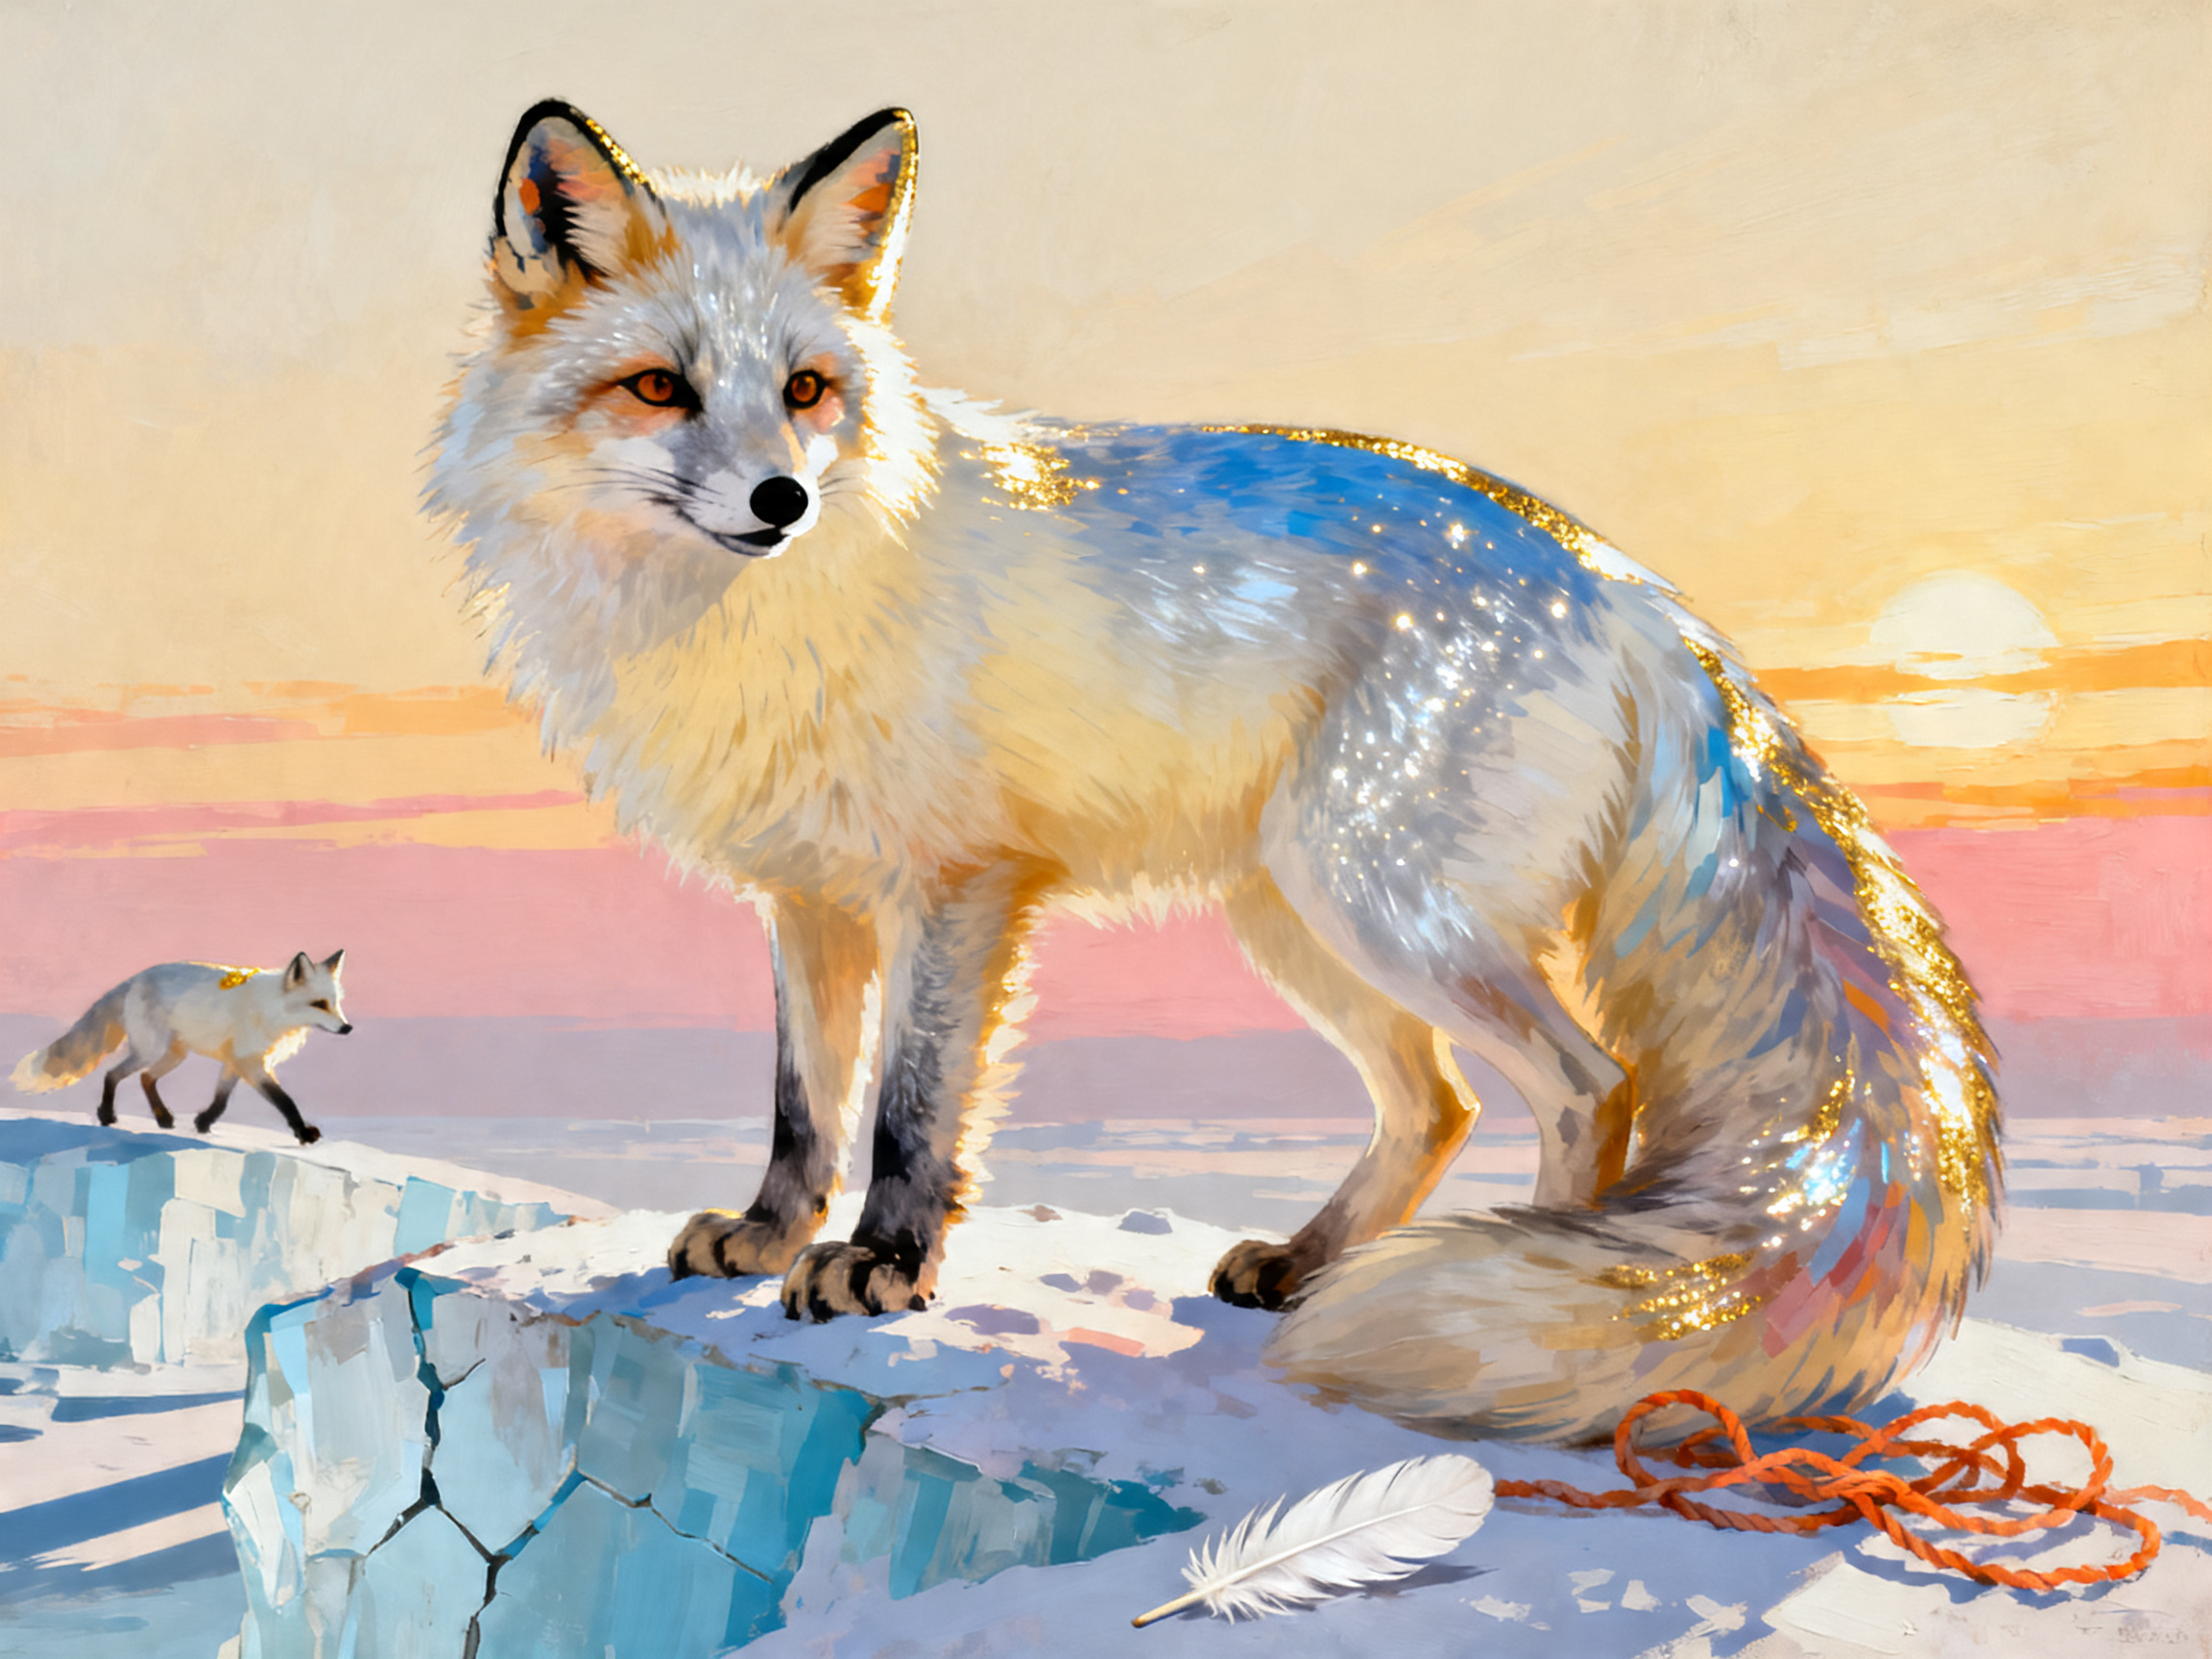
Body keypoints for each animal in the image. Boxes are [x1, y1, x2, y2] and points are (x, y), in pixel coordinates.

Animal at [10, 953, 351, 1145]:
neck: (273, 1010)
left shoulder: (236, 1062)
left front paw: (203, 1123)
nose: (347, 1029)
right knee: (112, 1074)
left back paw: (162, 1118)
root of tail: (135, 977)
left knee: (145, 1078)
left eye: (336, 1003)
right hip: (152, 1050)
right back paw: (107, 1115)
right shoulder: (250, 1063)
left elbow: (221, 1101)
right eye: (319, 1004)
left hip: (174, 1055)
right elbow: (285, 1101)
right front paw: (303, 1133)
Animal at [425, 102, 2002, 1443]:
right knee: (1439, 1104)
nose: (782, 500)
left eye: (806, 389)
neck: (745, 626)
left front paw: (884, 1265)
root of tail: (1618, 580)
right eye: (661, 388)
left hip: (1386, 906)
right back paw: (1310, 1265)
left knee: (1583, 1086)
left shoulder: (959, 884)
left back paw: (1522, 1284)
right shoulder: (809, 896)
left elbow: (909, 1110)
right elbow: (805, 1105)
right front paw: (766, 1236)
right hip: (1296, 918)